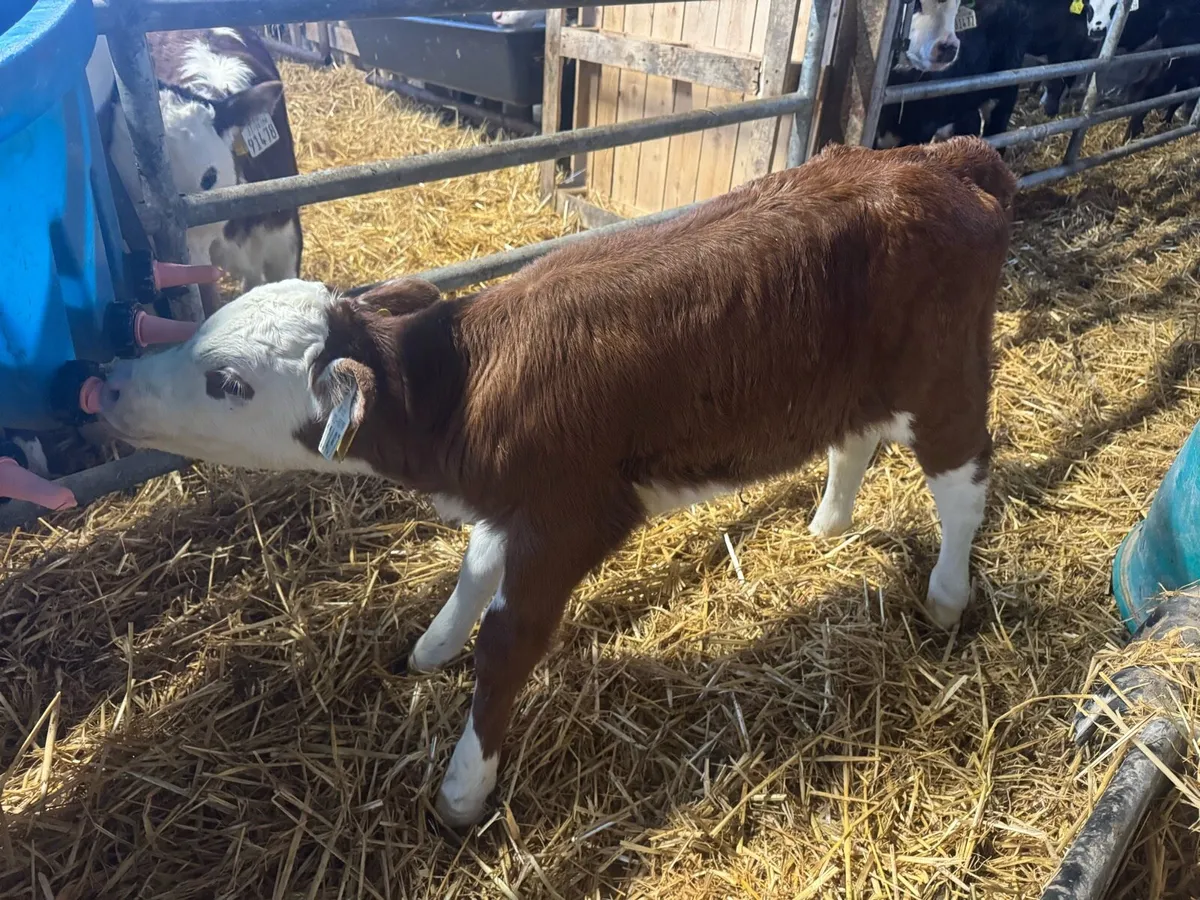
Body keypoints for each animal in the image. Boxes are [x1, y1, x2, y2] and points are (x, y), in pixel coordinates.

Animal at [96, 137, 1015, 828]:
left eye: (227, 382)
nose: (106, 383)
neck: (464, 388)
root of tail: (935, 159)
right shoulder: (510, 504)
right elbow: (473, 570)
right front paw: (431, 646)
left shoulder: (570, 515)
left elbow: (508, 644)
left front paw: (464, 788)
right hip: (850, 381)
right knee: (852, 443)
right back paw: (827, 526)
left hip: (944, 375)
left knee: (964, 482)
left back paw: (946, 597)